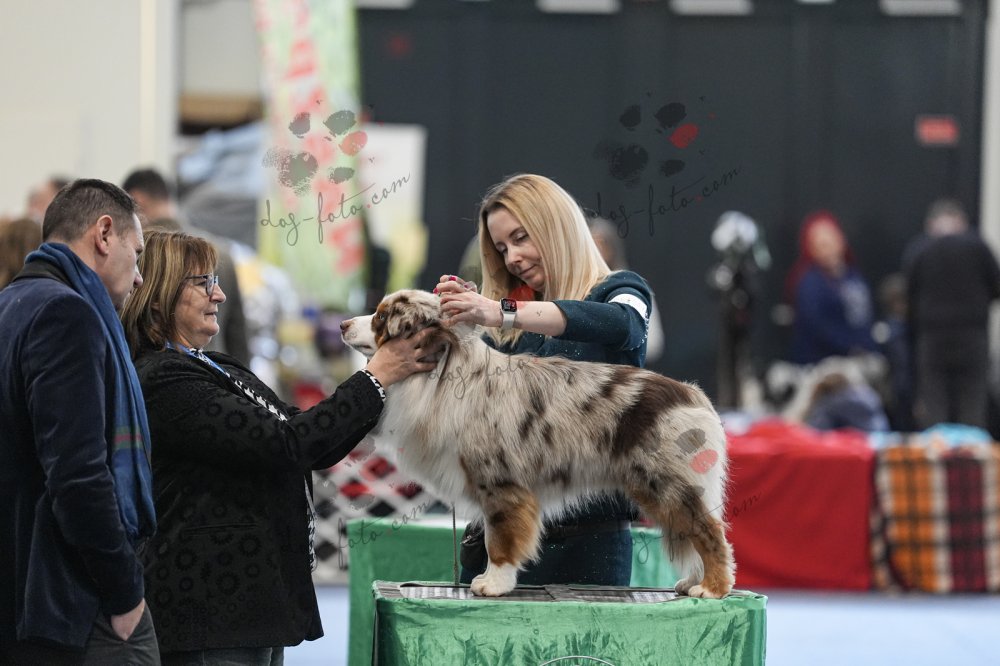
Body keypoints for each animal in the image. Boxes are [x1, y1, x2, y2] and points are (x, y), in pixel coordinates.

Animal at [341, 289, 735, 598]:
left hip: (665, 480)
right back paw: (693, 582)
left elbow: (498, 538)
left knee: (707, 531)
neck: (441, 373)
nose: (343, 324)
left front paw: (493, 583)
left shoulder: (500, 482)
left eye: (380, 317)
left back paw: (712, 588)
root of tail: (693, 395)